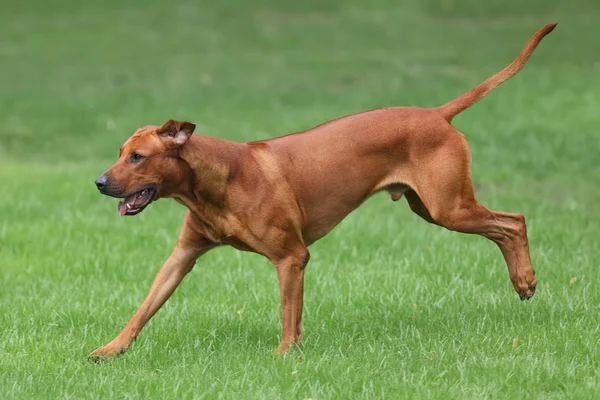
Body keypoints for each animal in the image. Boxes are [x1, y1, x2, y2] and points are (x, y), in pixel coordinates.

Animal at [90, 21, 556, 360]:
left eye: (138, 157)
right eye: (120, 153)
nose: (99, 183)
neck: (215, 182)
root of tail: (436, 113)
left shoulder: (291, 258)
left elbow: (287, 315)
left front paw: (284, 355)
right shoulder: (182, 257)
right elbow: (143, 310)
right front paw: (111, 349)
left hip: (449, 207)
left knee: (514, 221)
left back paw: (526, 280)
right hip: (431, 208)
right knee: (502, 227)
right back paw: (522, 283)